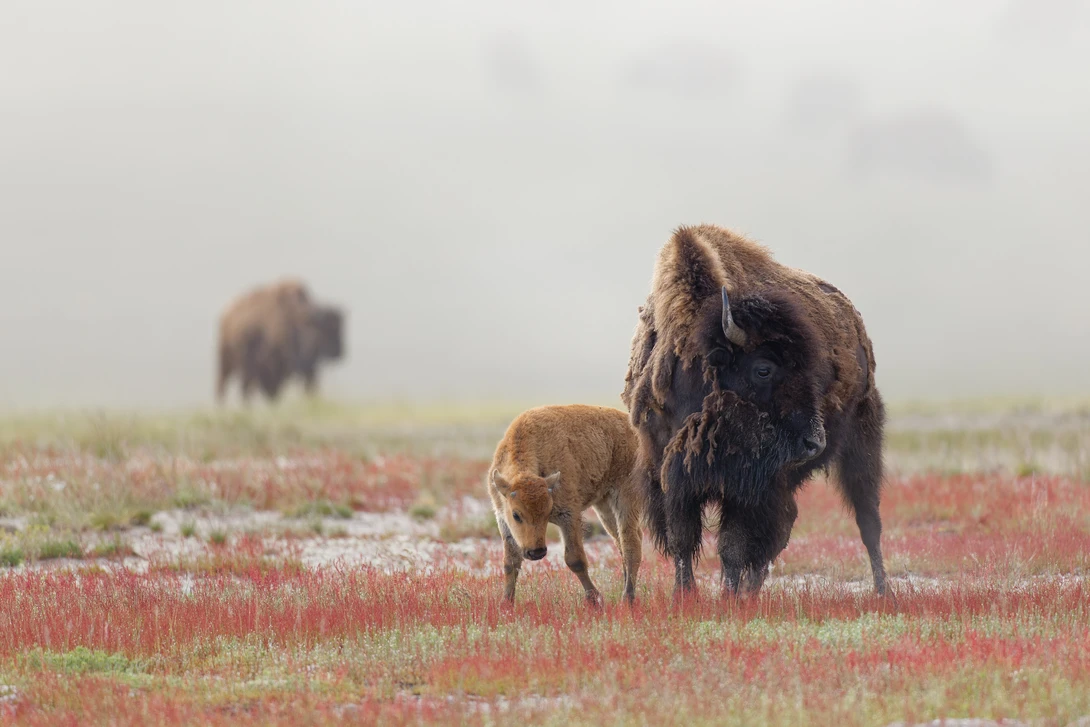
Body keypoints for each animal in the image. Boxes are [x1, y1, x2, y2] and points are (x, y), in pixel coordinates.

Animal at [487, 405, 644, 605]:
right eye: (516, 515)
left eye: (547, 512)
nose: (537, 552)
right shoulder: (502, 519)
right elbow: (510, 563)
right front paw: (506, 603)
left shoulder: (568, 516)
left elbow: (575, 560)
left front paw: (595, 600)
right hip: (604, 505)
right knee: (621, 542)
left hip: (625, 498)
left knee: (630, 544)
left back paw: (627, 599)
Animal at [621, 224, 888, 599]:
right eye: (763, 369)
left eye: (811, 368)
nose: (814, 443)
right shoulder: (667, 469)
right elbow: (682, 539)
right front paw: (685, 595)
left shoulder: (748, 487)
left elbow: (732, 546)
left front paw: (728, 596)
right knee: (786, 523)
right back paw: (752, 590)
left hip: (861, 440)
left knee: (867, 521)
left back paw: (884, 590)